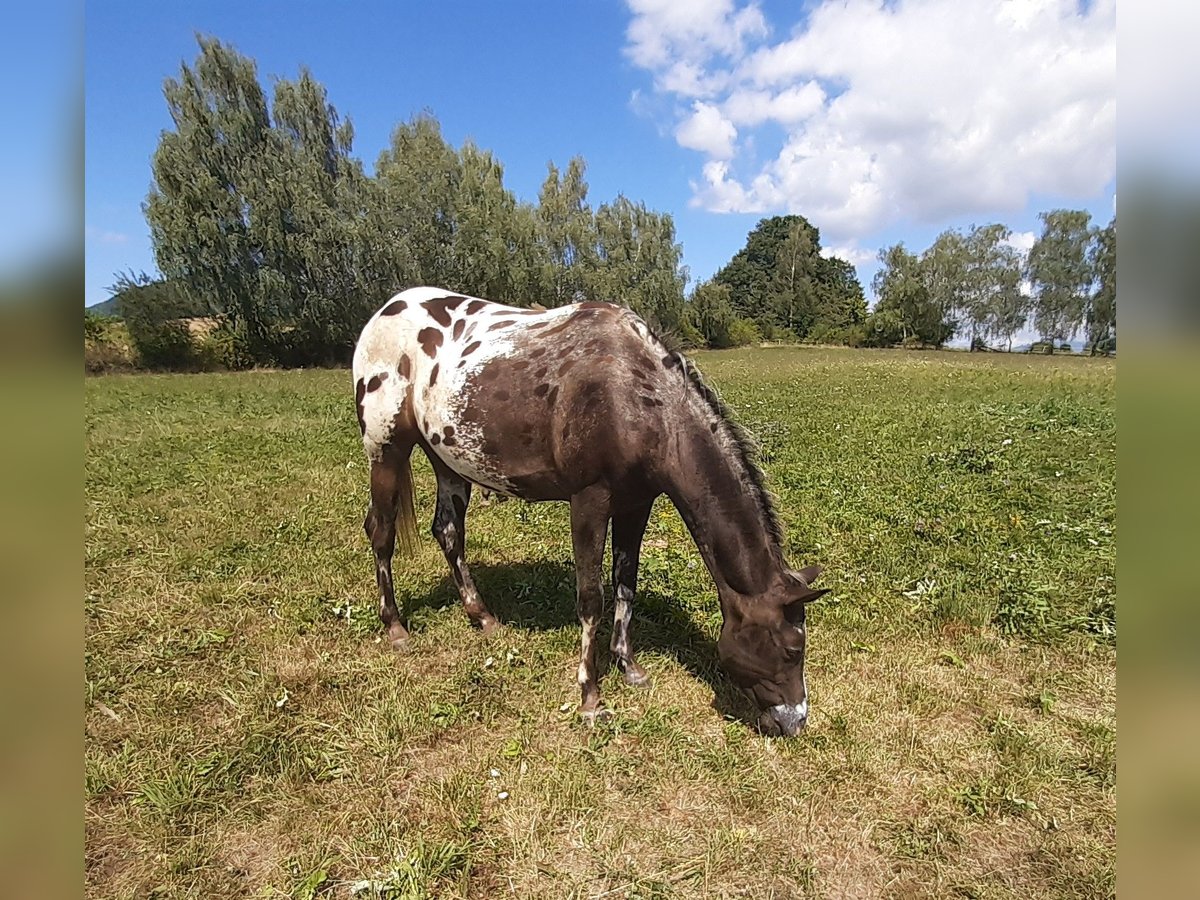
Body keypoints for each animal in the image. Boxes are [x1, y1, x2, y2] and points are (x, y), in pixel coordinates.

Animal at [350, 285, 830, 734]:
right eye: (792, 649)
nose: (795, 720)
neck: (635, 398)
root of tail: (384, 312)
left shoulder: (637, 503)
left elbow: (625, 584)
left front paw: (629, 667)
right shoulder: (589, 501)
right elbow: (590, 598)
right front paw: (590, 697)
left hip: (447, 460)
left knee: (448, 532)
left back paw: (482, 617)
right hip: (386, 450)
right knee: (382, 531)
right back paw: (395, 628)